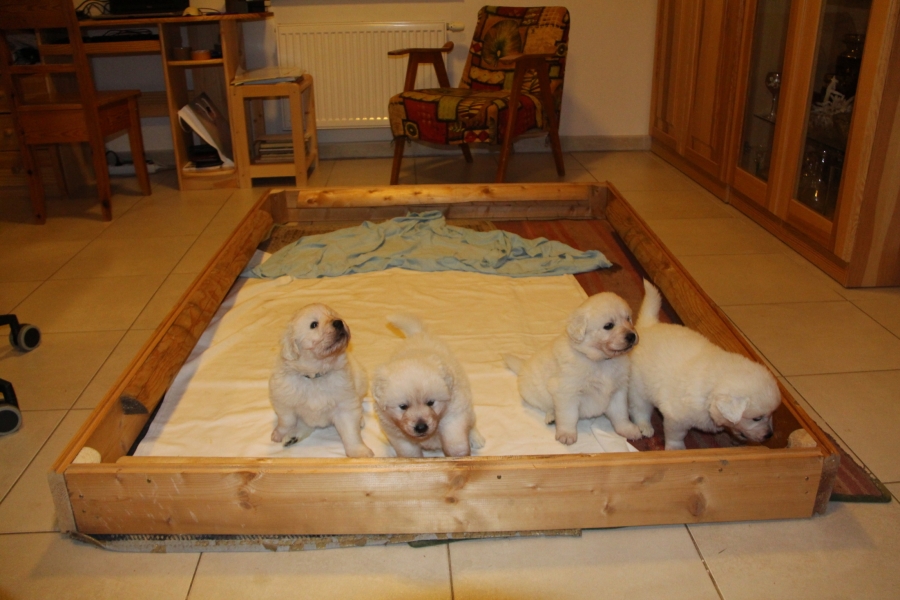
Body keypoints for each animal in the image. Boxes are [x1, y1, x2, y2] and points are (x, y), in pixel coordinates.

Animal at [268, 303, 374, 458]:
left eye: (332, 315)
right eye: (314, 324)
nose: (338, 322)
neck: (316, 375)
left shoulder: (345, 404)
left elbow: (350, 432)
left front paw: (358, 452)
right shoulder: (282, 399)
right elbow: (286, 420)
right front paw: (279, 433)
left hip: (360, 380)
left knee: (359, 403)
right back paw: (292, 437)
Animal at [371, 314, 484, 458]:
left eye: (431, 403)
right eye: (403, 406)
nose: (421, 427)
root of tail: (417, 334)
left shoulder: (453, 416)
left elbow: (454, 440)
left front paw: (459, 456)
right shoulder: (397, 434)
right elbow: (409, 453)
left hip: (466, 403)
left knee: (472, 423)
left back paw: (476, 438)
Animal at [503, 292, 642, 445]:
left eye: (628, 318)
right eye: (608, 326)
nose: (632, 336)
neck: (600, 361)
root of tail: (523, 366)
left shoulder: (618, 390)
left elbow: (621, 413)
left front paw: (628, 429)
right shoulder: (567, 392)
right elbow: (568, 416)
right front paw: (566, 434)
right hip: (532, 394)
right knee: (548, 407)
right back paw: (551, 416)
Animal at [627, 280, 781, 450]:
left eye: (772, 414)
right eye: (756, 418)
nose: (769, 435)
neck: (711, 391)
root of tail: (649, 326)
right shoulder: (676, 417)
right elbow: (676, 435)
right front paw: (676, 448)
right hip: (639, 388)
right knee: (640, 409)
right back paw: (645, 427)